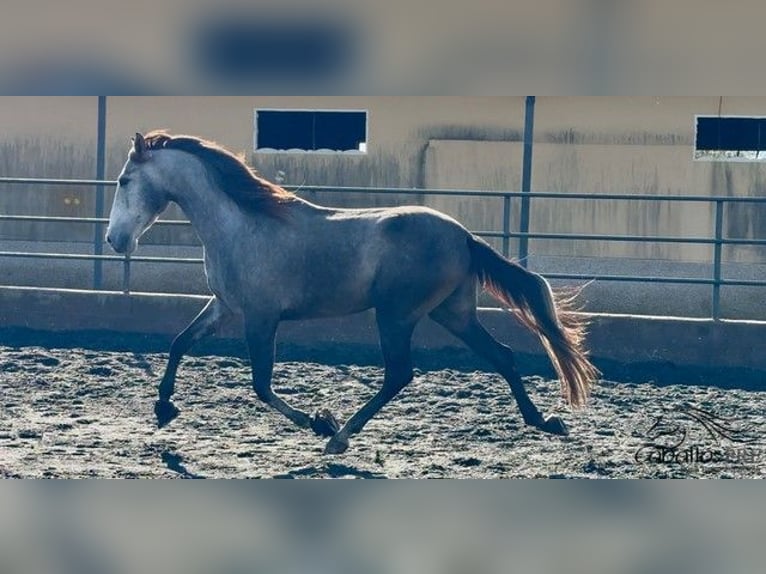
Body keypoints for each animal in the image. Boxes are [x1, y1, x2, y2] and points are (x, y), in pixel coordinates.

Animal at [106, 131, 599, 455]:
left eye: (124, 180)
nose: (114, 240)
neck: (240, 224)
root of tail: (463, 235)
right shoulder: (225, 308)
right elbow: (179, 342)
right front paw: (164, 407)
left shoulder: (261, 317)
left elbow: (261, 384)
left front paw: (318, 423)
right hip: (452, 313)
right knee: (502, 356)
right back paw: (544, 421)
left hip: (397, 315)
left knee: (400, 374)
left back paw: (341, 437)